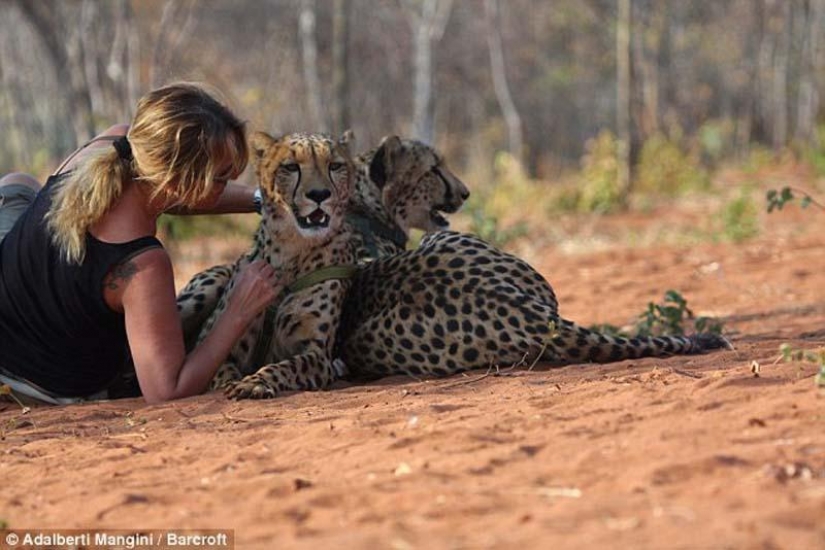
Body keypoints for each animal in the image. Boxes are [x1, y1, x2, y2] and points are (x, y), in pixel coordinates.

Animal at [195, 130, 358, 399]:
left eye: (334, 166)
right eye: (290, 167)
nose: (319, 194)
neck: (292, 251)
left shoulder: (319, 355)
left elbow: (289, 365)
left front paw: (254, 382)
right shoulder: (215, 344)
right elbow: (221, 370)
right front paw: (231, 382)